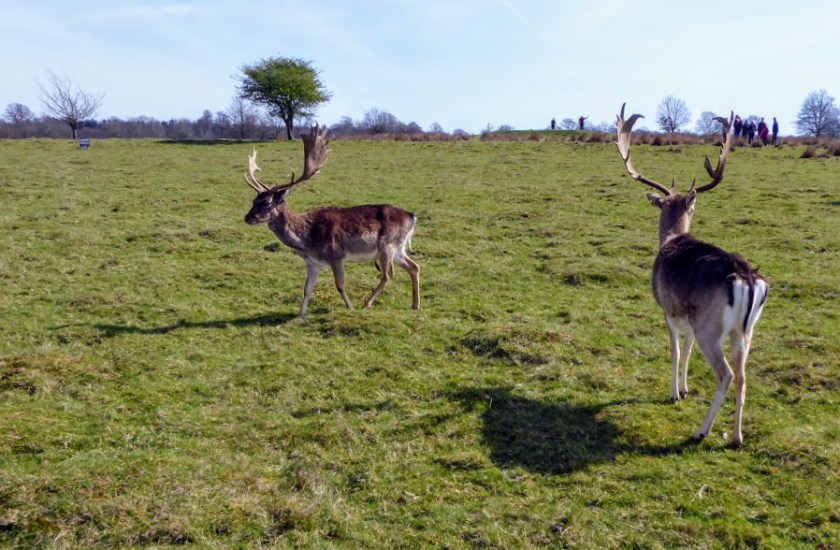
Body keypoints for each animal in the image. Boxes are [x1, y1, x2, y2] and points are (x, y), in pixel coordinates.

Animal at [243, 125, 420, 317]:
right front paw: (300, 315)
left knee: (388, 274)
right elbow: (307, 289)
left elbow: (340, 285)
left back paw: (366, 304)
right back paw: (415, 305)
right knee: (414, 266)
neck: (307, 239)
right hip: (398, 248)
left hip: (387, 246)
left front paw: (350, 308)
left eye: (267, 202)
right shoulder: (313, 263)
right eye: (253, 200)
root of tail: (412, 216)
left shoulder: (336, 255)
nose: (247, 218)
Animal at [616, 103, 769, 447]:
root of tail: (746, 278)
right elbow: (685, 350)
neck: (670, 240)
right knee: (743, 376)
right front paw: (685, 389)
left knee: (726, 375)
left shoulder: (667, 308)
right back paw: (736, 437)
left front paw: (674, 393)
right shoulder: (688, 315)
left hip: (710, 328)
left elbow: (674, 350)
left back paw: (701, 431)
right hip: (745, 331)